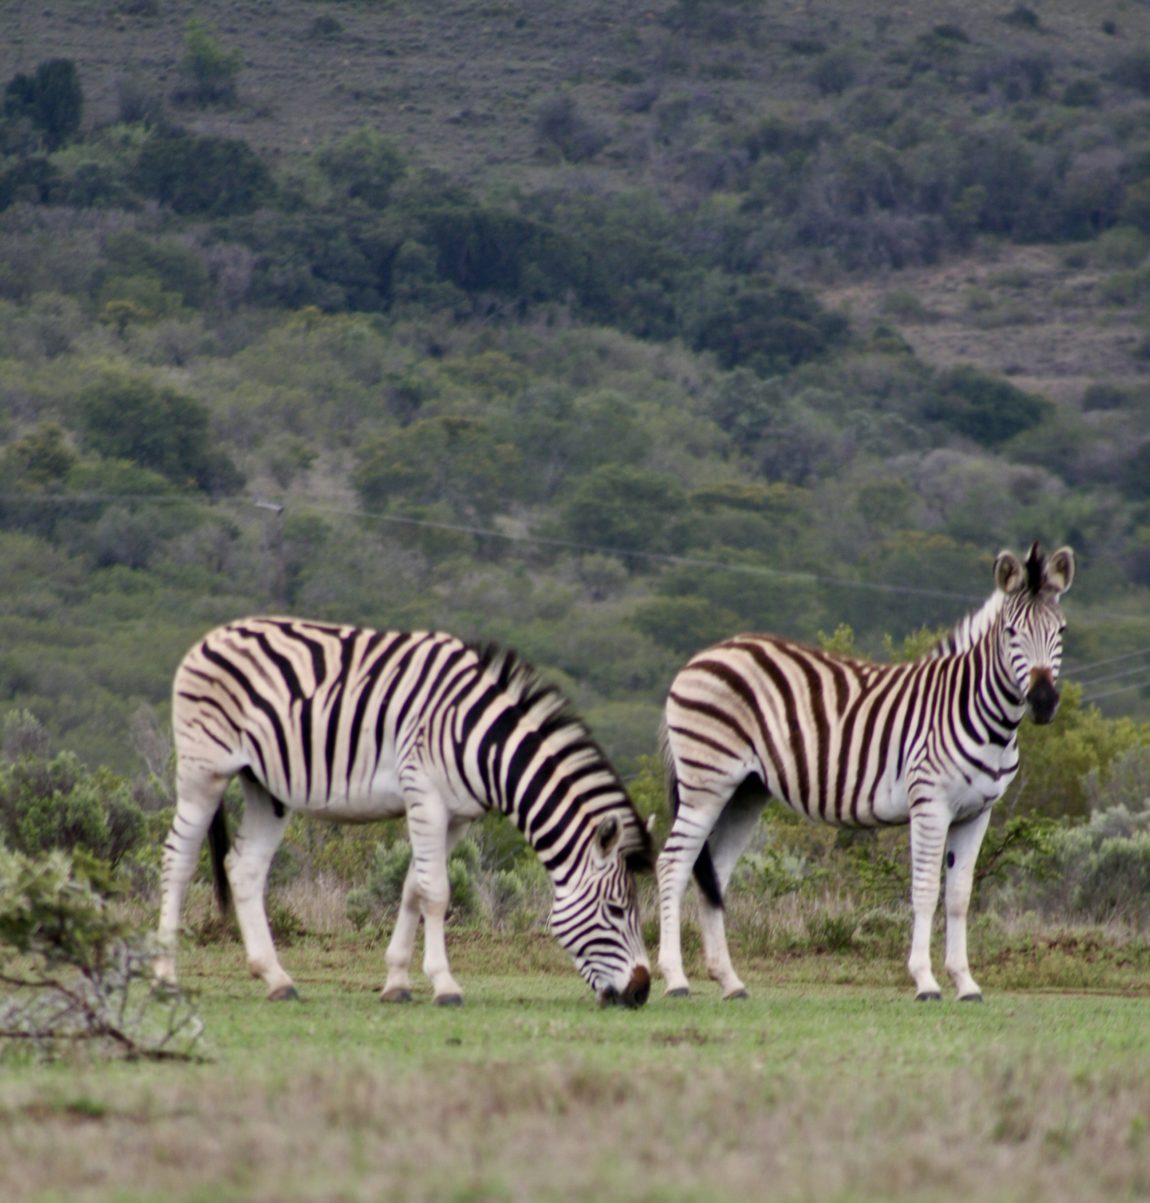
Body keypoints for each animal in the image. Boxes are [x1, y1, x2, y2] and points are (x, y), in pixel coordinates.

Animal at [156, 620, 649, 1005]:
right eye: (616, 909)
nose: (641, 993)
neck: (483, 741)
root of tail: (214, 635)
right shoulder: (424, 795)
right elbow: (437, 892)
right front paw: (445, 985)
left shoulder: (457, 816)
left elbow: (413, 886)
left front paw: (397, 983)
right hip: (205, 770)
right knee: (178, 859)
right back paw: (165, 979)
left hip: (265, 787)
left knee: (245, 869)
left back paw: (276, 979)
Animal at [659, 541, 1073, 1000]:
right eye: (1011, 633)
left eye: (1061, 632)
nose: (1042, 701)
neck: (980, 713)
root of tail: (707, 653)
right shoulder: (930, 804)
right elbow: (925, 891)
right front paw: (925, 980)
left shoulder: (977, 812)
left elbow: (960, 896)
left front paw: (966, 983)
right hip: (706, 782)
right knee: (672, 865)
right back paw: (675, 979)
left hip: (744, 792)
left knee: (712, 873)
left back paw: (729, 981)